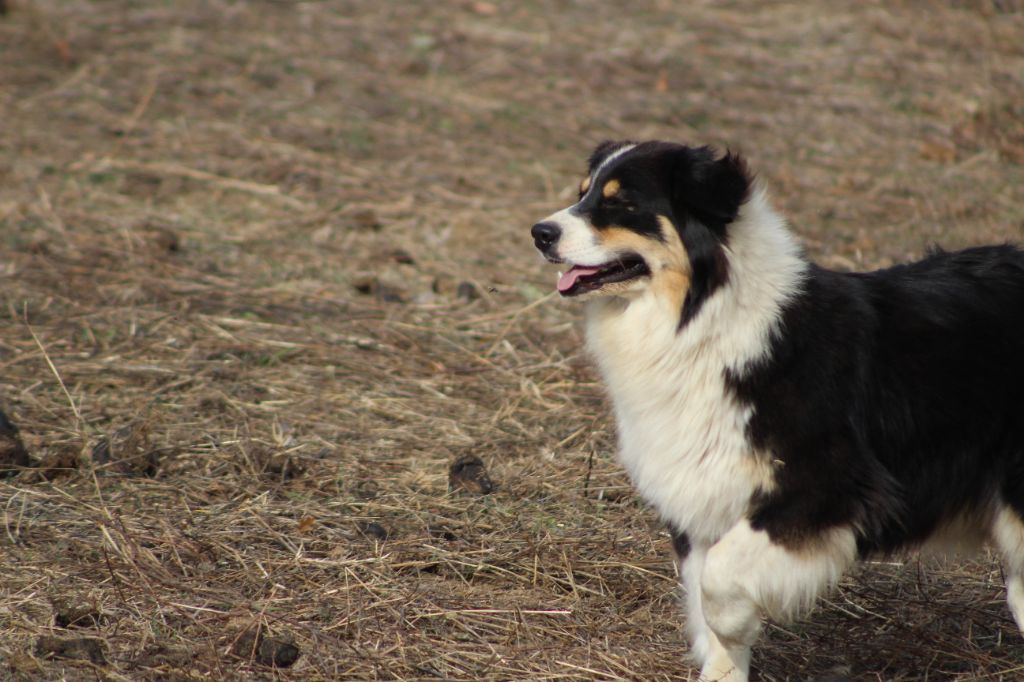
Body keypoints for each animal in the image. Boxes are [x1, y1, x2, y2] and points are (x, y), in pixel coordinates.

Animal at [532, 140, 1024, 675]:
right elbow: (707, 601)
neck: (703, 319)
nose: (540, 233)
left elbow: (717, 584)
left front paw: (739, 622)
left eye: (621, 203)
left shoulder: (833, 488)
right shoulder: (700, 498)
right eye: (584, 192)